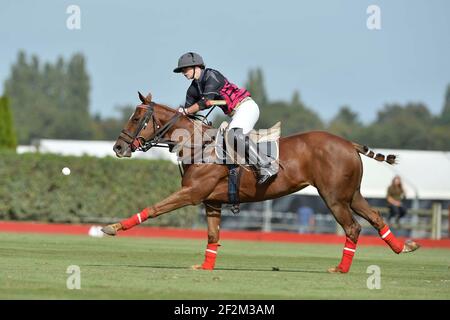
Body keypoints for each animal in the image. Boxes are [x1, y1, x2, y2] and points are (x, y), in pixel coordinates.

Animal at [102, 92, 418, 272]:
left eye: (137, 118)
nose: (118, 147)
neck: (198, 145)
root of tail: (348, 143)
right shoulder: (212, 201)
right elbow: (213, 236)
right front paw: (204, 267)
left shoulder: (192, 193)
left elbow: (155, 208)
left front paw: (113, 227)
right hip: (351, 194)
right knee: (375, 216)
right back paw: (404, 247)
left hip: (334, 196)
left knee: (353, 227)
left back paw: (340, 269)